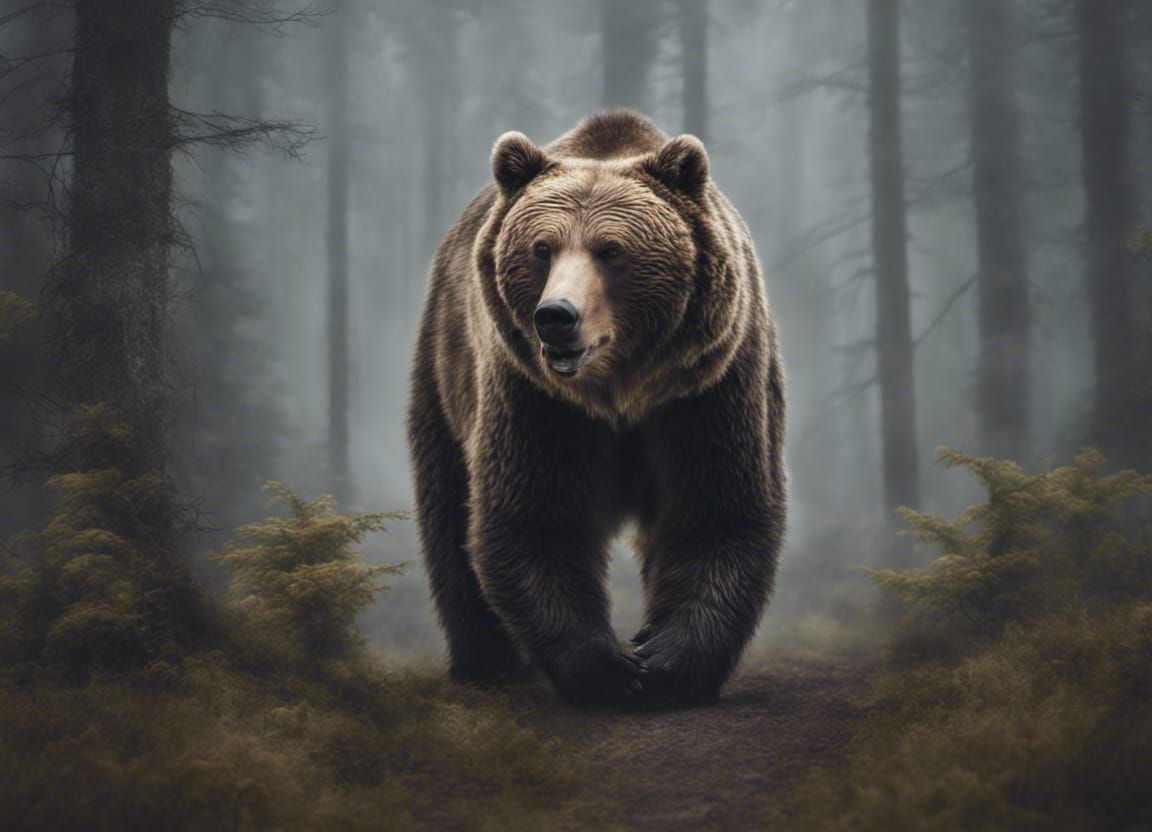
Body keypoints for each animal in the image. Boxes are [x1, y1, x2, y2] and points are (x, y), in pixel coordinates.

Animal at [406, 110, 785, 709]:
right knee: (449, 518)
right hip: (445, 375)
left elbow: (717, 507)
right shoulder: (535, 398)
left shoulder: (708, 386)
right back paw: (485, 665)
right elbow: (535, 515)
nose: (556, 316)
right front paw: (609, 668)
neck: (619, 392)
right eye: (542, 248)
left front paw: (667, 662)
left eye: (611, 250)